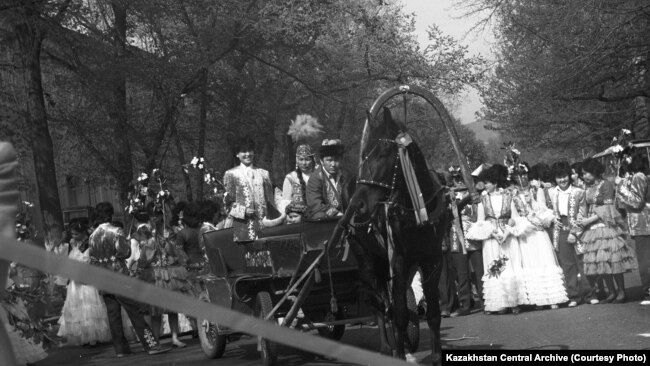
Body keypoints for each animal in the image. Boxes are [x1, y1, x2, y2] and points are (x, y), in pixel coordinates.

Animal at [334, 107, 446, 364]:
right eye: (364, 155)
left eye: (385, 152)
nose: (358, 204)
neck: (417, 211)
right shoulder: (400, 262)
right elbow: (400, 314)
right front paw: (399, 352)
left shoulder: (432, 260)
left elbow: (433, 312)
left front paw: (435, 355)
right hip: (367, 259)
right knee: (379, 304)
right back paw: (388, 348)